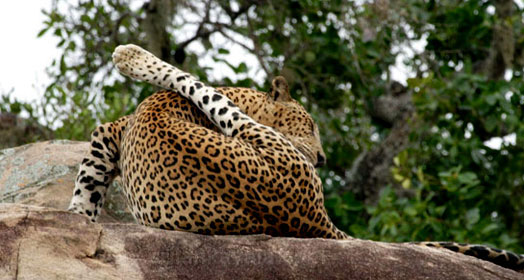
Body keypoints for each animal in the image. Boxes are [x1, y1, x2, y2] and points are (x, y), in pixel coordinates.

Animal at [69, 44, 524, 274]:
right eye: (308, 122)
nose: (321, 157)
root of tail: (311, 218)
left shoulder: (113, 131)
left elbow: (88, 178)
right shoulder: (109, 134)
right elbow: (87, 183)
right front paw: (78, 222)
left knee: (190, 81)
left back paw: (130, 55)